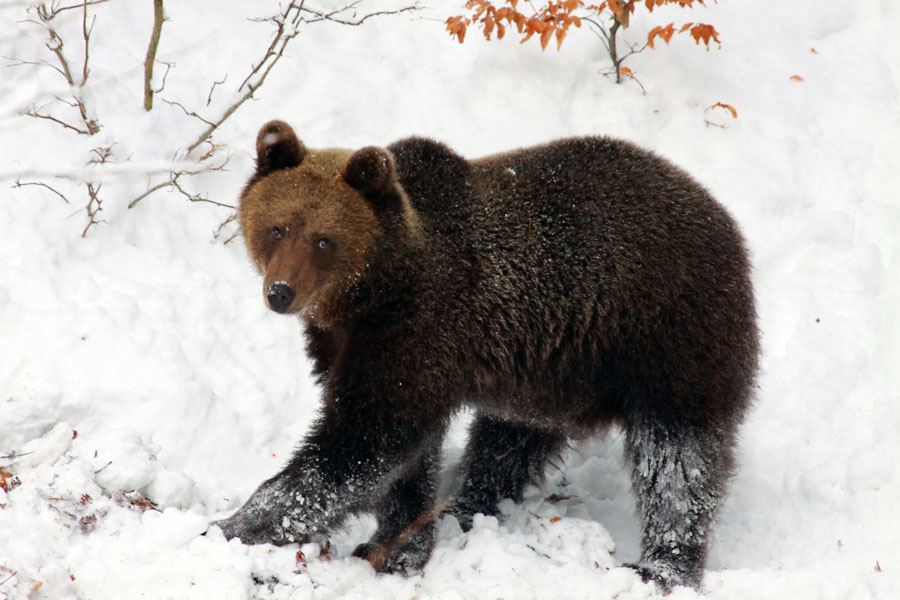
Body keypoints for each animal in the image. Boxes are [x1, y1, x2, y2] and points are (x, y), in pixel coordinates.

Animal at [218, 119, 760, 592]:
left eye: (324, 240)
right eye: (277, 228)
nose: (281, 293)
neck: (371, 294)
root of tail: (723, 217)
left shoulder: (418, 330)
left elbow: (361, 441)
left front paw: (235, 524)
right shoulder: (354, 346)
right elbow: (405, 454)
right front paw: (400, 542)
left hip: (669, 341)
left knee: (677, 460)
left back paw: (664, 566)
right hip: (552, 372)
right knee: (507, 444)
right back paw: (467, 506)